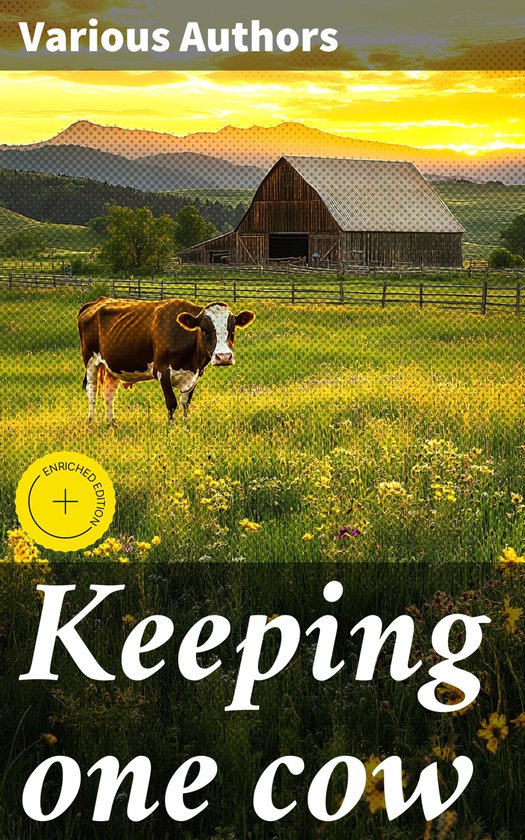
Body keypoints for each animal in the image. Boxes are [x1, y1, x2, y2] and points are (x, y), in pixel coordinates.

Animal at [78, 297, 255, 423]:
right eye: (204, 329)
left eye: (232, 329)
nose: (224, 357)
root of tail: (97, 301)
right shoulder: (162, 371)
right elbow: (171, 404)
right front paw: (171, 430)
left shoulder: (195, 374)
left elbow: (185, 404)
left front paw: (185, 427)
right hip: (90, 361)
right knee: (92, 392)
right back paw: (91, 423)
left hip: (112, 366)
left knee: (109, 394)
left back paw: (111, 424)